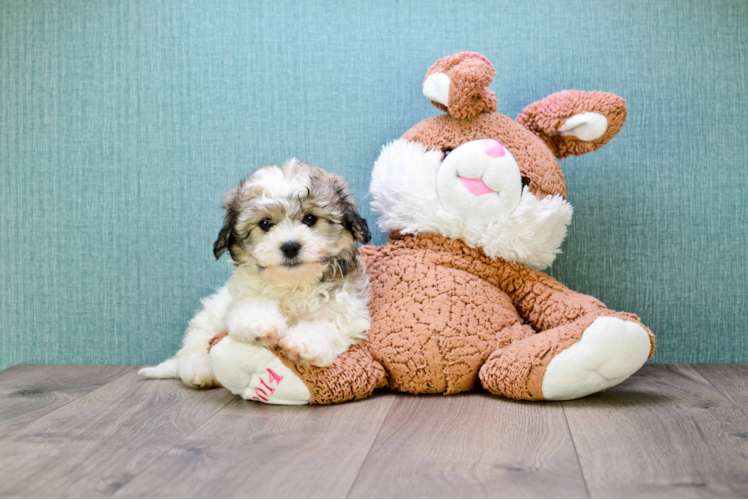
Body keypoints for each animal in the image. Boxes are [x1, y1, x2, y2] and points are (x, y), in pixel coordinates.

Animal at [139, 158, 372, 388]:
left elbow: (328, 325)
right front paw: (261, 326)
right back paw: (199, 370)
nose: (290, 247)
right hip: (207, 319)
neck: (294, 284)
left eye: (310, 219)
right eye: (265, 224)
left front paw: (303, 343)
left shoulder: (346, 308)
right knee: (193, 349)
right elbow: (254, 305)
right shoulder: (245, 294)